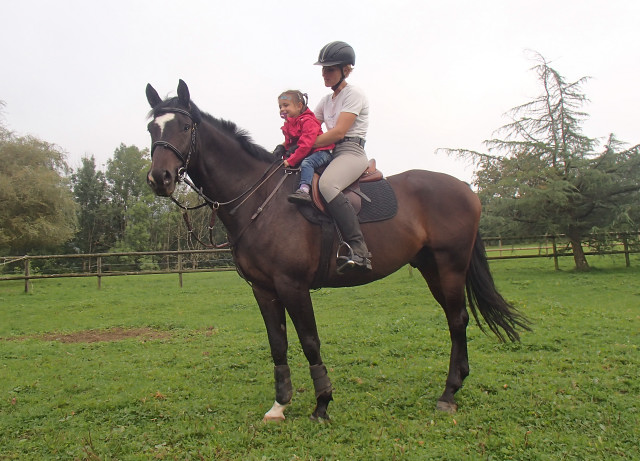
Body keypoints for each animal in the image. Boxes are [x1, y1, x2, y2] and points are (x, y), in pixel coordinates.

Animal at [145, 80, 528, 420]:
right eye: (151, 128)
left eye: (184, 126)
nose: (159, 178)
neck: (260, 197)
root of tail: (465, 187)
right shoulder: (263, 289)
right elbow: (277, 344)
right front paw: (280, 405)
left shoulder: (293, 286)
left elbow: (310, 341)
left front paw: (322, 404)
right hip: (431, 268)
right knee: (453, 318)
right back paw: (454, 387)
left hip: (450, 266)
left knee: (458, 319)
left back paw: (448, 394)